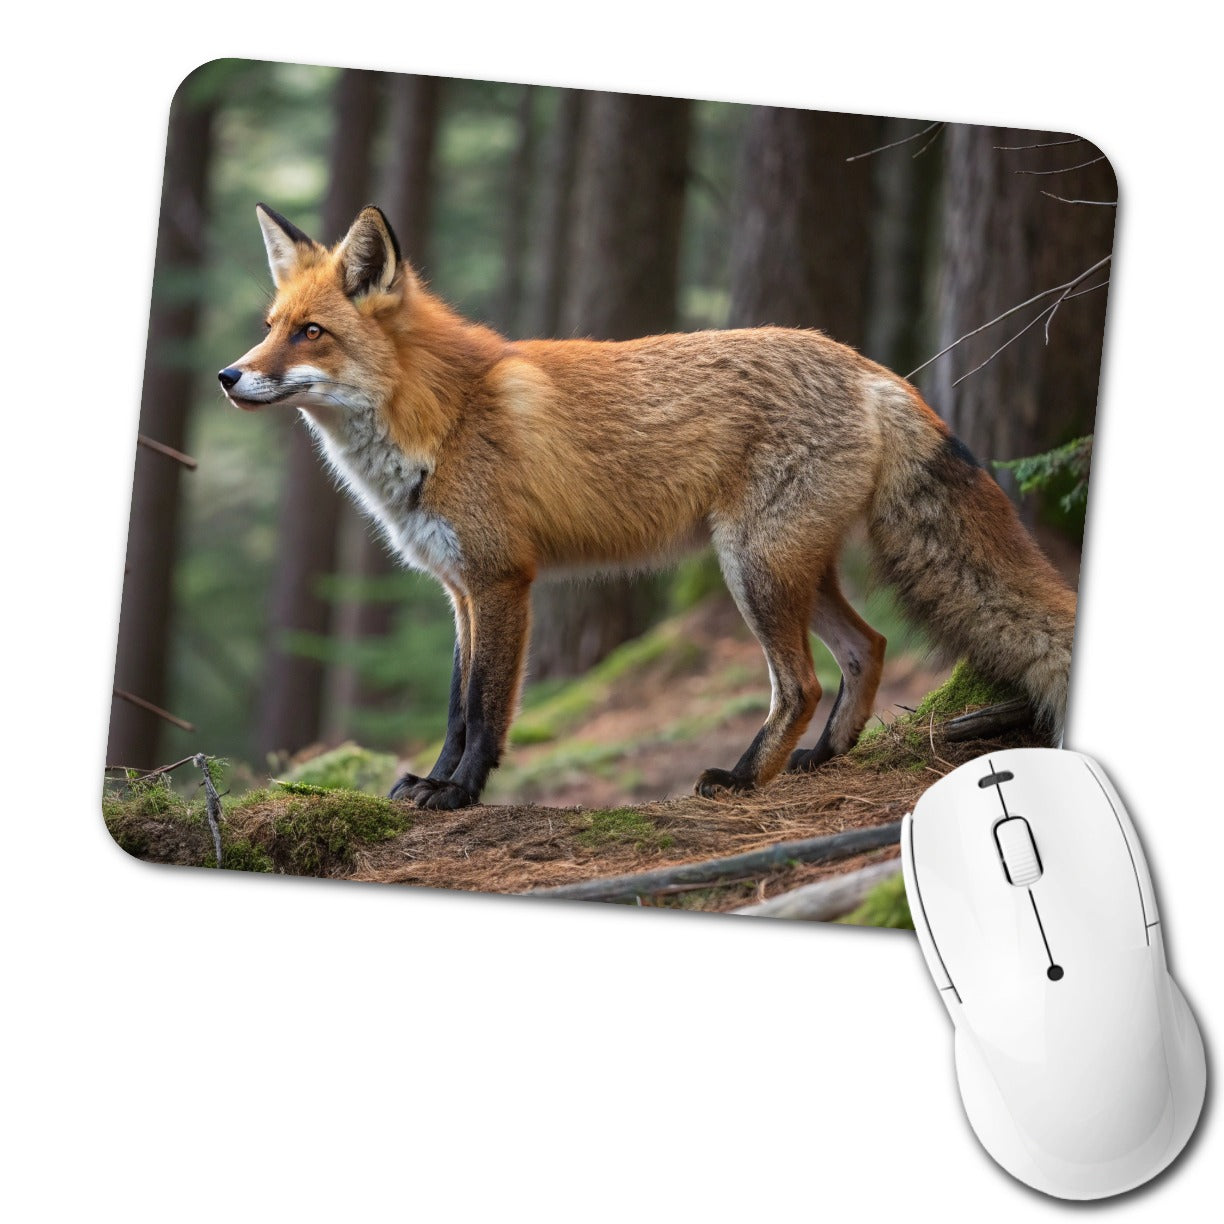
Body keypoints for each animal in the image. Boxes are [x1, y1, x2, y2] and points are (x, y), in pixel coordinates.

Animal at [219, 203, 1077, 812]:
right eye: (269, 329)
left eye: (311, 333)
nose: (228, 375)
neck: (441, 417)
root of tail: (872, 367)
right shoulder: (460, 589)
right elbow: (457, 707)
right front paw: (432, 782)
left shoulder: (503, 581)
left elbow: (487, 713)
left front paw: (458, 793)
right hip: (789, 566)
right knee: (867, 646)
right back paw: (820, 760)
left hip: (752, 568)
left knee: (799, 683)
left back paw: (742, 778)